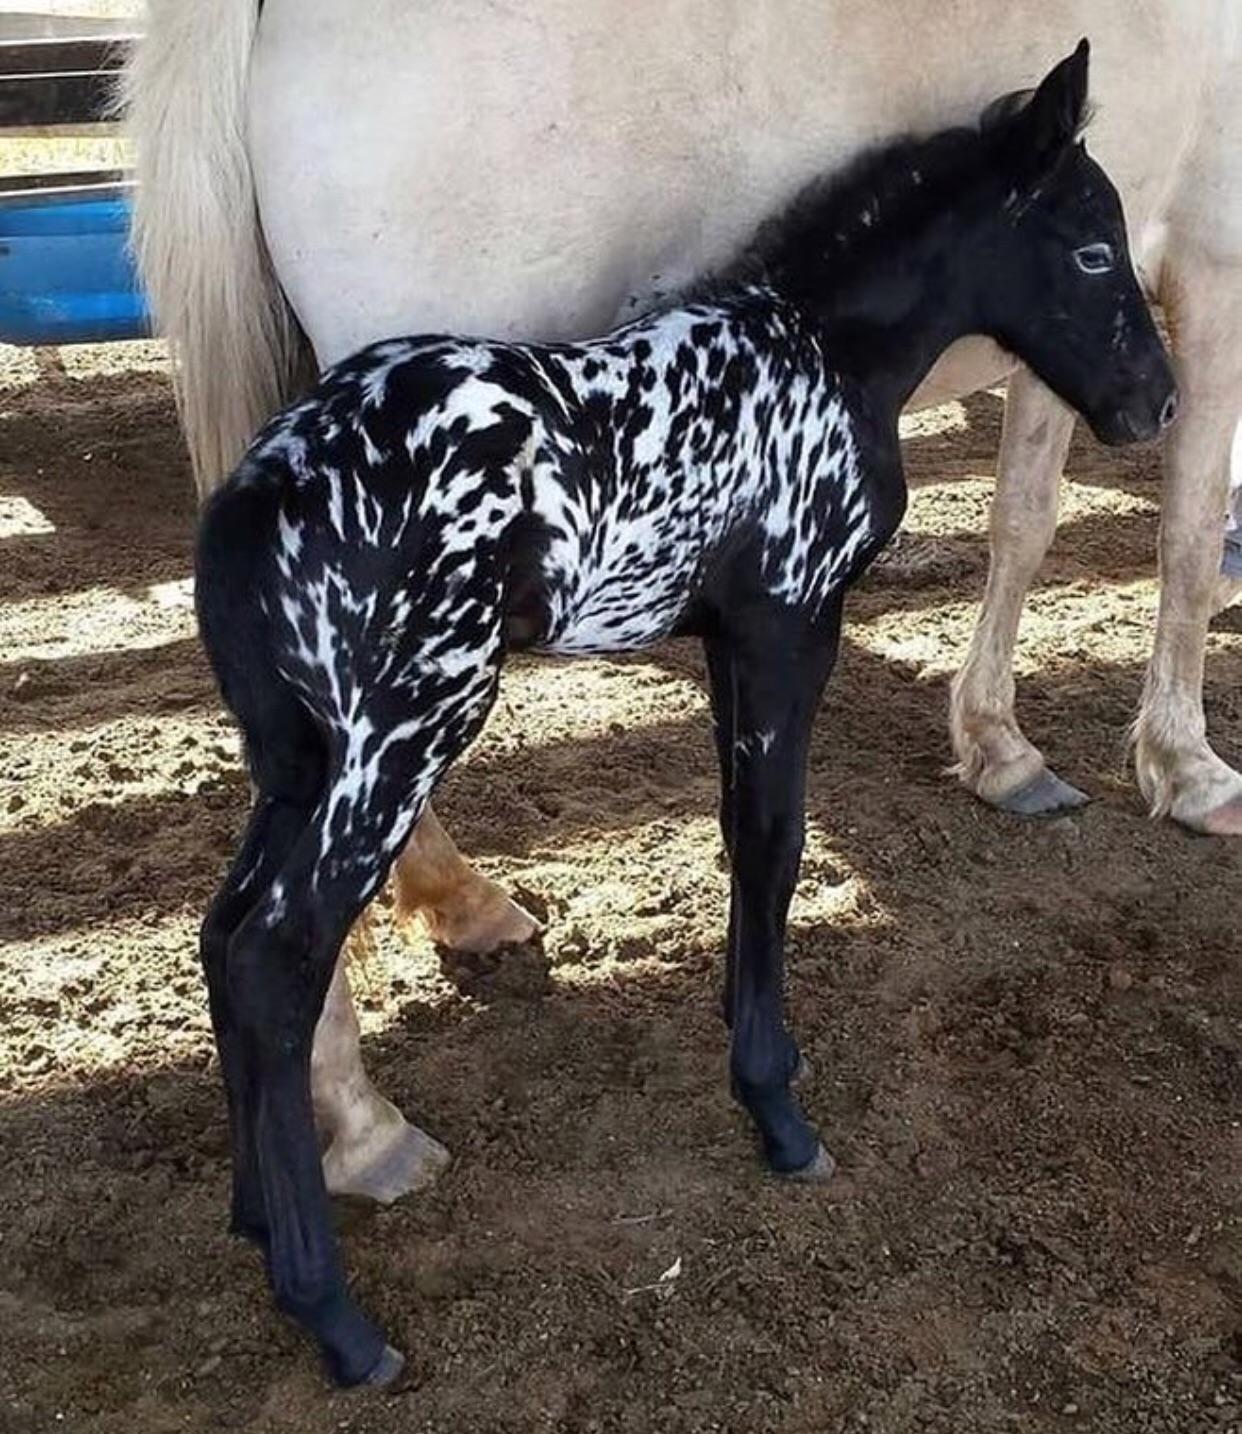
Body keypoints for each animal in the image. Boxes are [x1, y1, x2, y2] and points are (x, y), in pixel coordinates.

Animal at [128, 0, 1239, 1210]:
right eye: (1091, 247)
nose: (1150, 401)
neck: (813, 343)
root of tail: (265, 486)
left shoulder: (735, 633)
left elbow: (1025, 522)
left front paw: (1006, 750)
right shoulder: (793, 622)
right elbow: (776, 838)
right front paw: (1190, 772)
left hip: (313, 735)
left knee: (236, 927)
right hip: (404, 717)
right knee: (281, 939)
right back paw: (367, 1137)